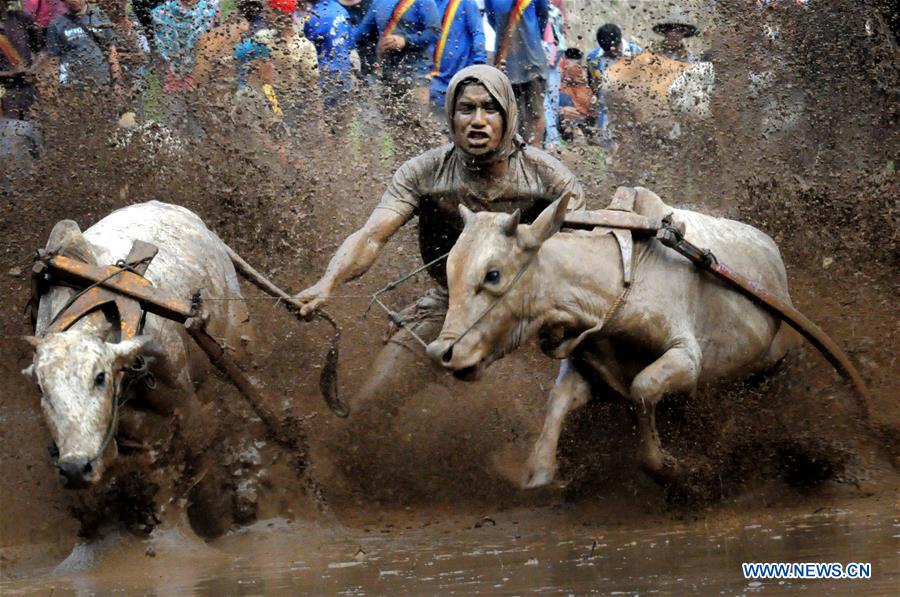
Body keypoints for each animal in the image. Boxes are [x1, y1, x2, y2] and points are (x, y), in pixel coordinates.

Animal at [428, 189, 800, 486]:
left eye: (492, 274)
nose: (441, 352)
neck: (616, 283)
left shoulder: (687, 358)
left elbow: (643, 388)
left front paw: (673, 468)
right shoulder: (586, 366)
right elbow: (559, 401)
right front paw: (540, 472)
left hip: (775, 360)